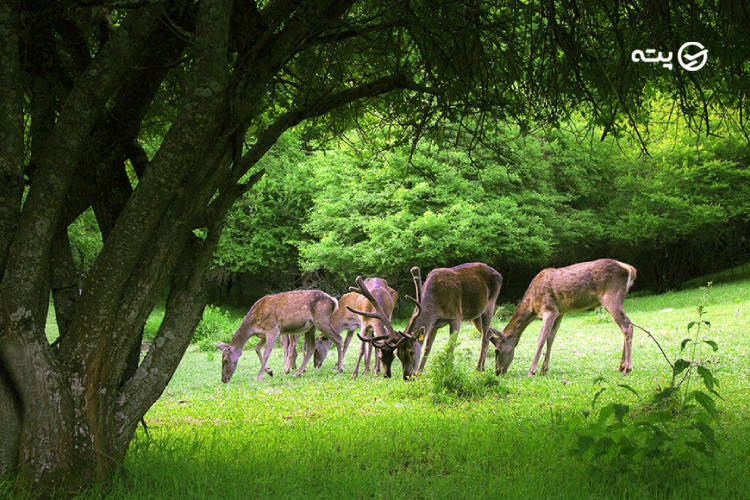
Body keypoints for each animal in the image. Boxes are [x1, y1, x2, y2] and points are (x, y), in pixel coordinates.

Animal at [216, 290, 346, 382]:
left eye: (225, 360)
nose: (223, 379)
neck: (254, 323)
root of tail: (333, 300)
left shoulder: (273, 330)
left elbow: (266, 353)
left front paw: (258, 377)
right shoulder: (263, 334)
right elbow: (257, 348)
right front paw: (269, 371)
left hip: (321, 319)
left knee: (338, 338)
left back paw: (340, 368)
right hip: (311, 326)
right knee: (311, 346)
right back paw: (298, 373)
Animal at [352, 264, 506, 376]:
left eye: (411, 352)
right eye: (398, 354)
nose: (407, 376)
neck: (436, 304)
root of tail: (499, 274)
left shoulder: (456, 316)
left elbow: (450, 346)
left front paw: (448, 369)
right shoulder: (434, 324)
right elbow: (427, 347)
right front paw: (420, 372)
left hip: (490, 306)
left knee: (485, 336)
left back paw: (478, 368)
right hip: (475, 315)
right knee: (488, 333)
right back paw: (484, 367)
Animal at [488, 258, 640, 376]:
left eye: (497, 350)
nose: (497, 371)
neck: (532, 307)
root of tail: (630, 269)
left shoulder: (549, 309)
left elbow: (541, 339)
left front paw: (532, 371)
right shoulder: (560, 312)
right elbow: (551, 338)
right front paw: (544, 369)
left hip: (611, 297)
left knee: (627, 326)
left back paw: (627, 368)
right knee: (626, 326)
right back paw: (620, 367)